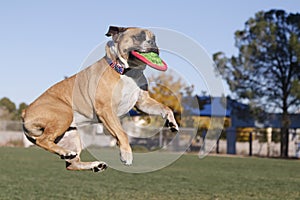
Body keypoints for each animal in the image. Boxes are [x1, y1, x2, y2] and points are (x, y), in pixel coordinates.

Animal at [22, 25, 178, 172]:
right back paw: (66, 153)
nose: (153, 43)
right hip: (64, 115)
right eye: (138, 36)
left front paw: (172, 123)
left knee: (72, 164)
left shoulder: (143, 103)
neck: (128, 72)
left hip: (71, 134)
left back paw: (93, 165)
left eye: (154, 38)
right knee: (43, 140)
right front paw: (126, 155)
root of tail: (25, 112)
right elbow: (122, 133)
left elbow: (165, 108)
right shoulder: (106, 110)